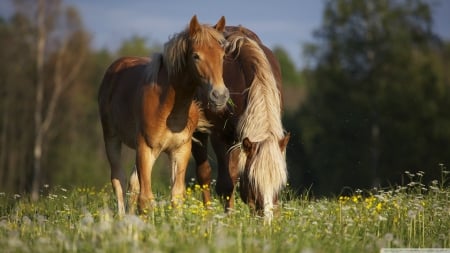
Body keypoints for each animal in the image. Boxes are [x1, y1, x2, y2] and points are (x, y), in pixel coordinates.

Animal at [98, 14, 229, 214]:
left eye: (222, 55)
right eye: (196, 56)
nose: (219, 95)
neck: (169, 107)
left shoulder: (180, 150)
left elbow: (176, 196)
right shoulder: (145, 147)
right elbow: (145, 199)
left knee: (132, 183)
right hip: (112, 138)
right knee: (118, 179)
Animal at [192, 25, 290, 219]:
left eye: (280, 183)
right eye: (254, 181)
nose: (267, 220)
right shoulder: (220, 136)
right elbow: (225, 184)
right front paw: (228, 219)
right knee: (204, 175)